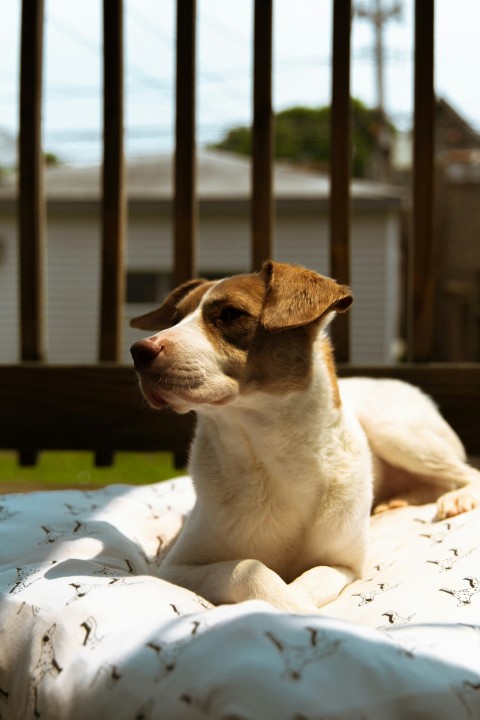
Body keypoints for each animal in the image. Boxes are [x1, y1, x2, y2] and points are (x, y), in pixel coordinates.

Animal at [128, 262, 480, 612]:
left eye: (230, 314)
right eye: (175, 319)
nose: (138, 352)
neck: (270, 458)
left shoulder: (343, 564)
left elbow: (307, 582)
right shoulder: (176, 567)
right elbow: (252, 570)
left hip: (396, 431)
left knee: (466, 473)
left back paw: (457, 498)